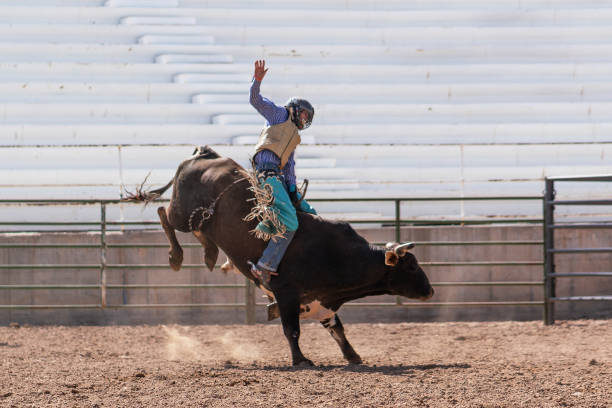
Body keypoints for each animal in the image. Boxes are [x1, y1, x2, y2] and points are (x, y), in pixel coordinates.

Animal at [128, 147, 436, 366]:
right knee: (163, 215)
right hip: (181, 213)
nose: (431, 291)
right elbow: (292, 330)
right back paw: (176, 257)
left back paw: (210, 255)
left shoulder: (320, 302)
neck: (339, 257)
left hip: (198, 221)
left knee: (199, 232)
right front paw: (300, 360)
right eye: (411, 266)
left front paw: (353, 356)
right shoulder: (286, 293)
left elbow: (338, 329)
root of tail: (206, 153)